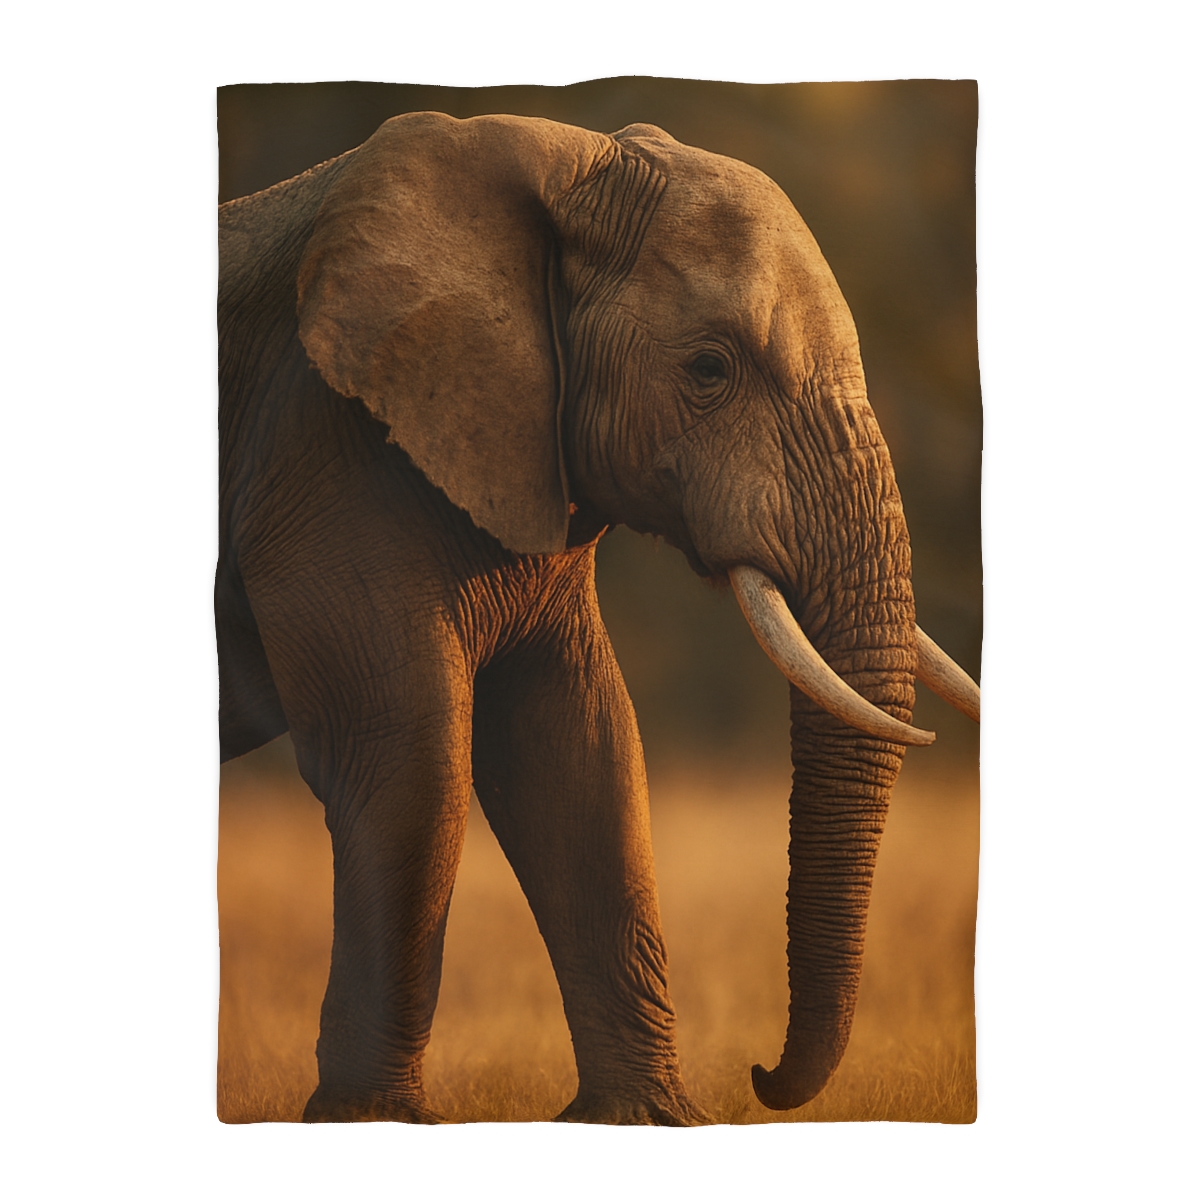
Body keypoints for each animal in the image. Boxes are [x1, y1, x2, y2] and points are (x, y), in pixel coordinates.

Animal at [217, 111, 980, 1125]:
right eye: (708, 368)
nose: (761, 1077)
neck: (558, 155)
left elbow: (582, 758)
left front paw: (648, 1121)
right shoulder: (328, 448)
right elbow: (413, 760)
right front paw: (372, 1123)